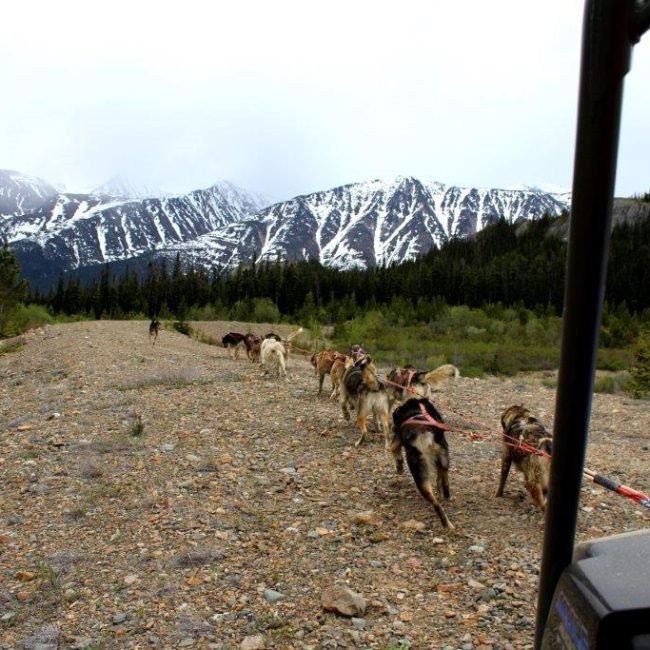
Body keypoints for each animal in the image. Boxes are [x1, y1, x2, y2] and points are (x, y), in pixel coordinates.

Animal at [390, 394, 450, 528]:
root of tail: (423, 435)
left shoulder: (397, 437)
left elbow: (393, 449)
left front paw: (399, 466)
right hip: (443, 456)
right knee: (443, 480)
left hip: (419, 471)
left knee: (435, 502)